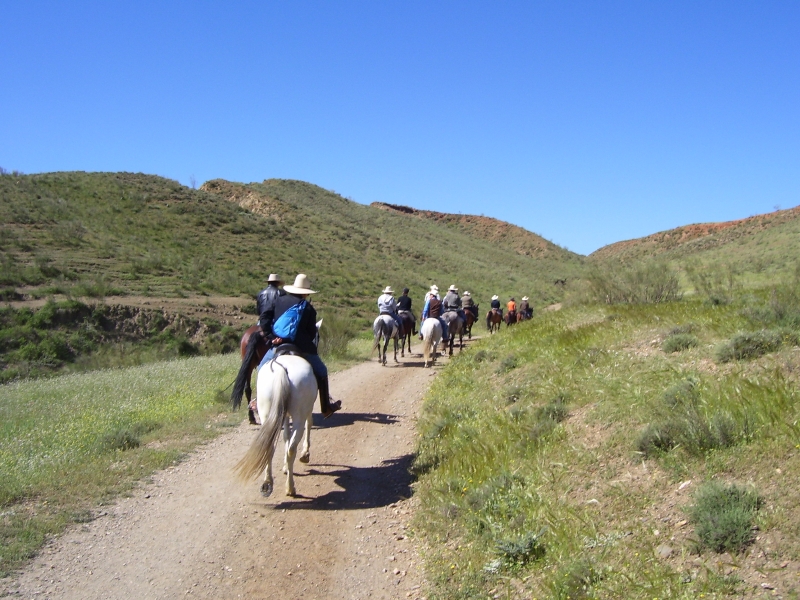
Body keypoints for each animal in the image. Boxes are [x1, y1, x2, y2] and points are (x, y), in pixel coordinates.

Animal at [233, 356, 318, 496]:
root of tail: (280, 369)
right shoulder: (307, 410)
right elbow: (308, 424)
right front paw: (305, 454)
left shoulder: (284, 416)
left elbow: (286, 436)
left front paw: (285, 466)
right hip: (299, 417)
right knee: (292, 448)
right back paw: (290, 488)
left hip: (267, 414)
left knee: (269, 446)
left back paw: (268, 482)